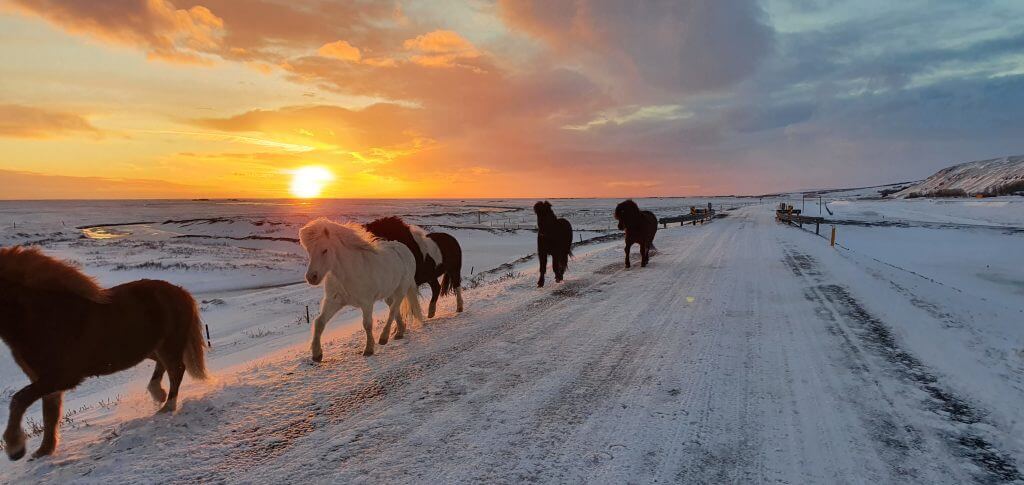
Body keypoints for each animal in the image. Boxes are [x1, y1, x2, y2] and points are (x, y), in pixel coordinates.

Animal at [0, 246, 207, 458]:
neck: (45, 317)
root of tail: (181, 291)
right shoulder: (44, 380)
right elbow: (49, 414)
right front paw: (44, 451)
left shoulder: (63, 377)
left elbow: (19, 399)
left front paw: (15, 447)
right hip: (152, 348)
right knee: (164, 364)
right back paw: (158, 393)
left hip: (170, 343)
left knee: (176, 370)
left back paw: (167, 406)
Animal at [299, 216, 423, 360]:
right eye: (309, 251)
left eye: (324, 250)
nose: (311, 277)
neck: (347, 273)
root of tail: (404, 249)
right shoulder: (333, 301)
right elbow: (319, 322)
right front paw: (317, 354)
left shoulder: (367, 303)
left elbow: (367, 324)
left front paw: (369, 349)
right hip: (389, 293)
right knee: (394, 307)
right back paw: (399, 332)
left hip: (401, 289)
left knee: (393, 310)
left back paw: (384, 337)